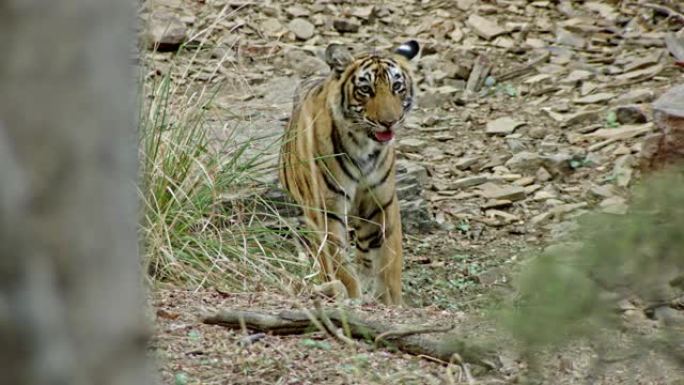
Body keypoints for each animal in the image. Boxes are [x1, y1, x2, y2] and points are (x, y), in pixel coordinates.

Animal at [276, 38, 416, 304]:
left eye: (397, 87)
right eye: (366, 90)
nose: (389, 122)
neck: (363, 145)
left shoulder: (381, 202)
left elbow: (389, 258)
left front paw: (390, 300)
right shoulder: (326, 208)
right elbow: (337, 260)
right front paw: (351, 295)